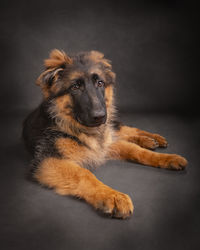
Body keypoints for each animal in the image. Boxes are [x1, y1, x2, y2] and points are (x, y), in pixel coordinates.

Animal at [23, 49, 188, 219]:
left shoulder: (107, 144)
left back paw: (153, 138)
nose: (100, 116)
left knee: (125, 129)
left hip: (111, 127)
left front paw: (167, 158)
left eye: (100, 83)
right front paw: (112, 196)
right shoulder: (48, 160)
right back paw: (148, 141)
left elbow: (136, 151)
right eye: (75, 87)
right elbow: (84, 174)